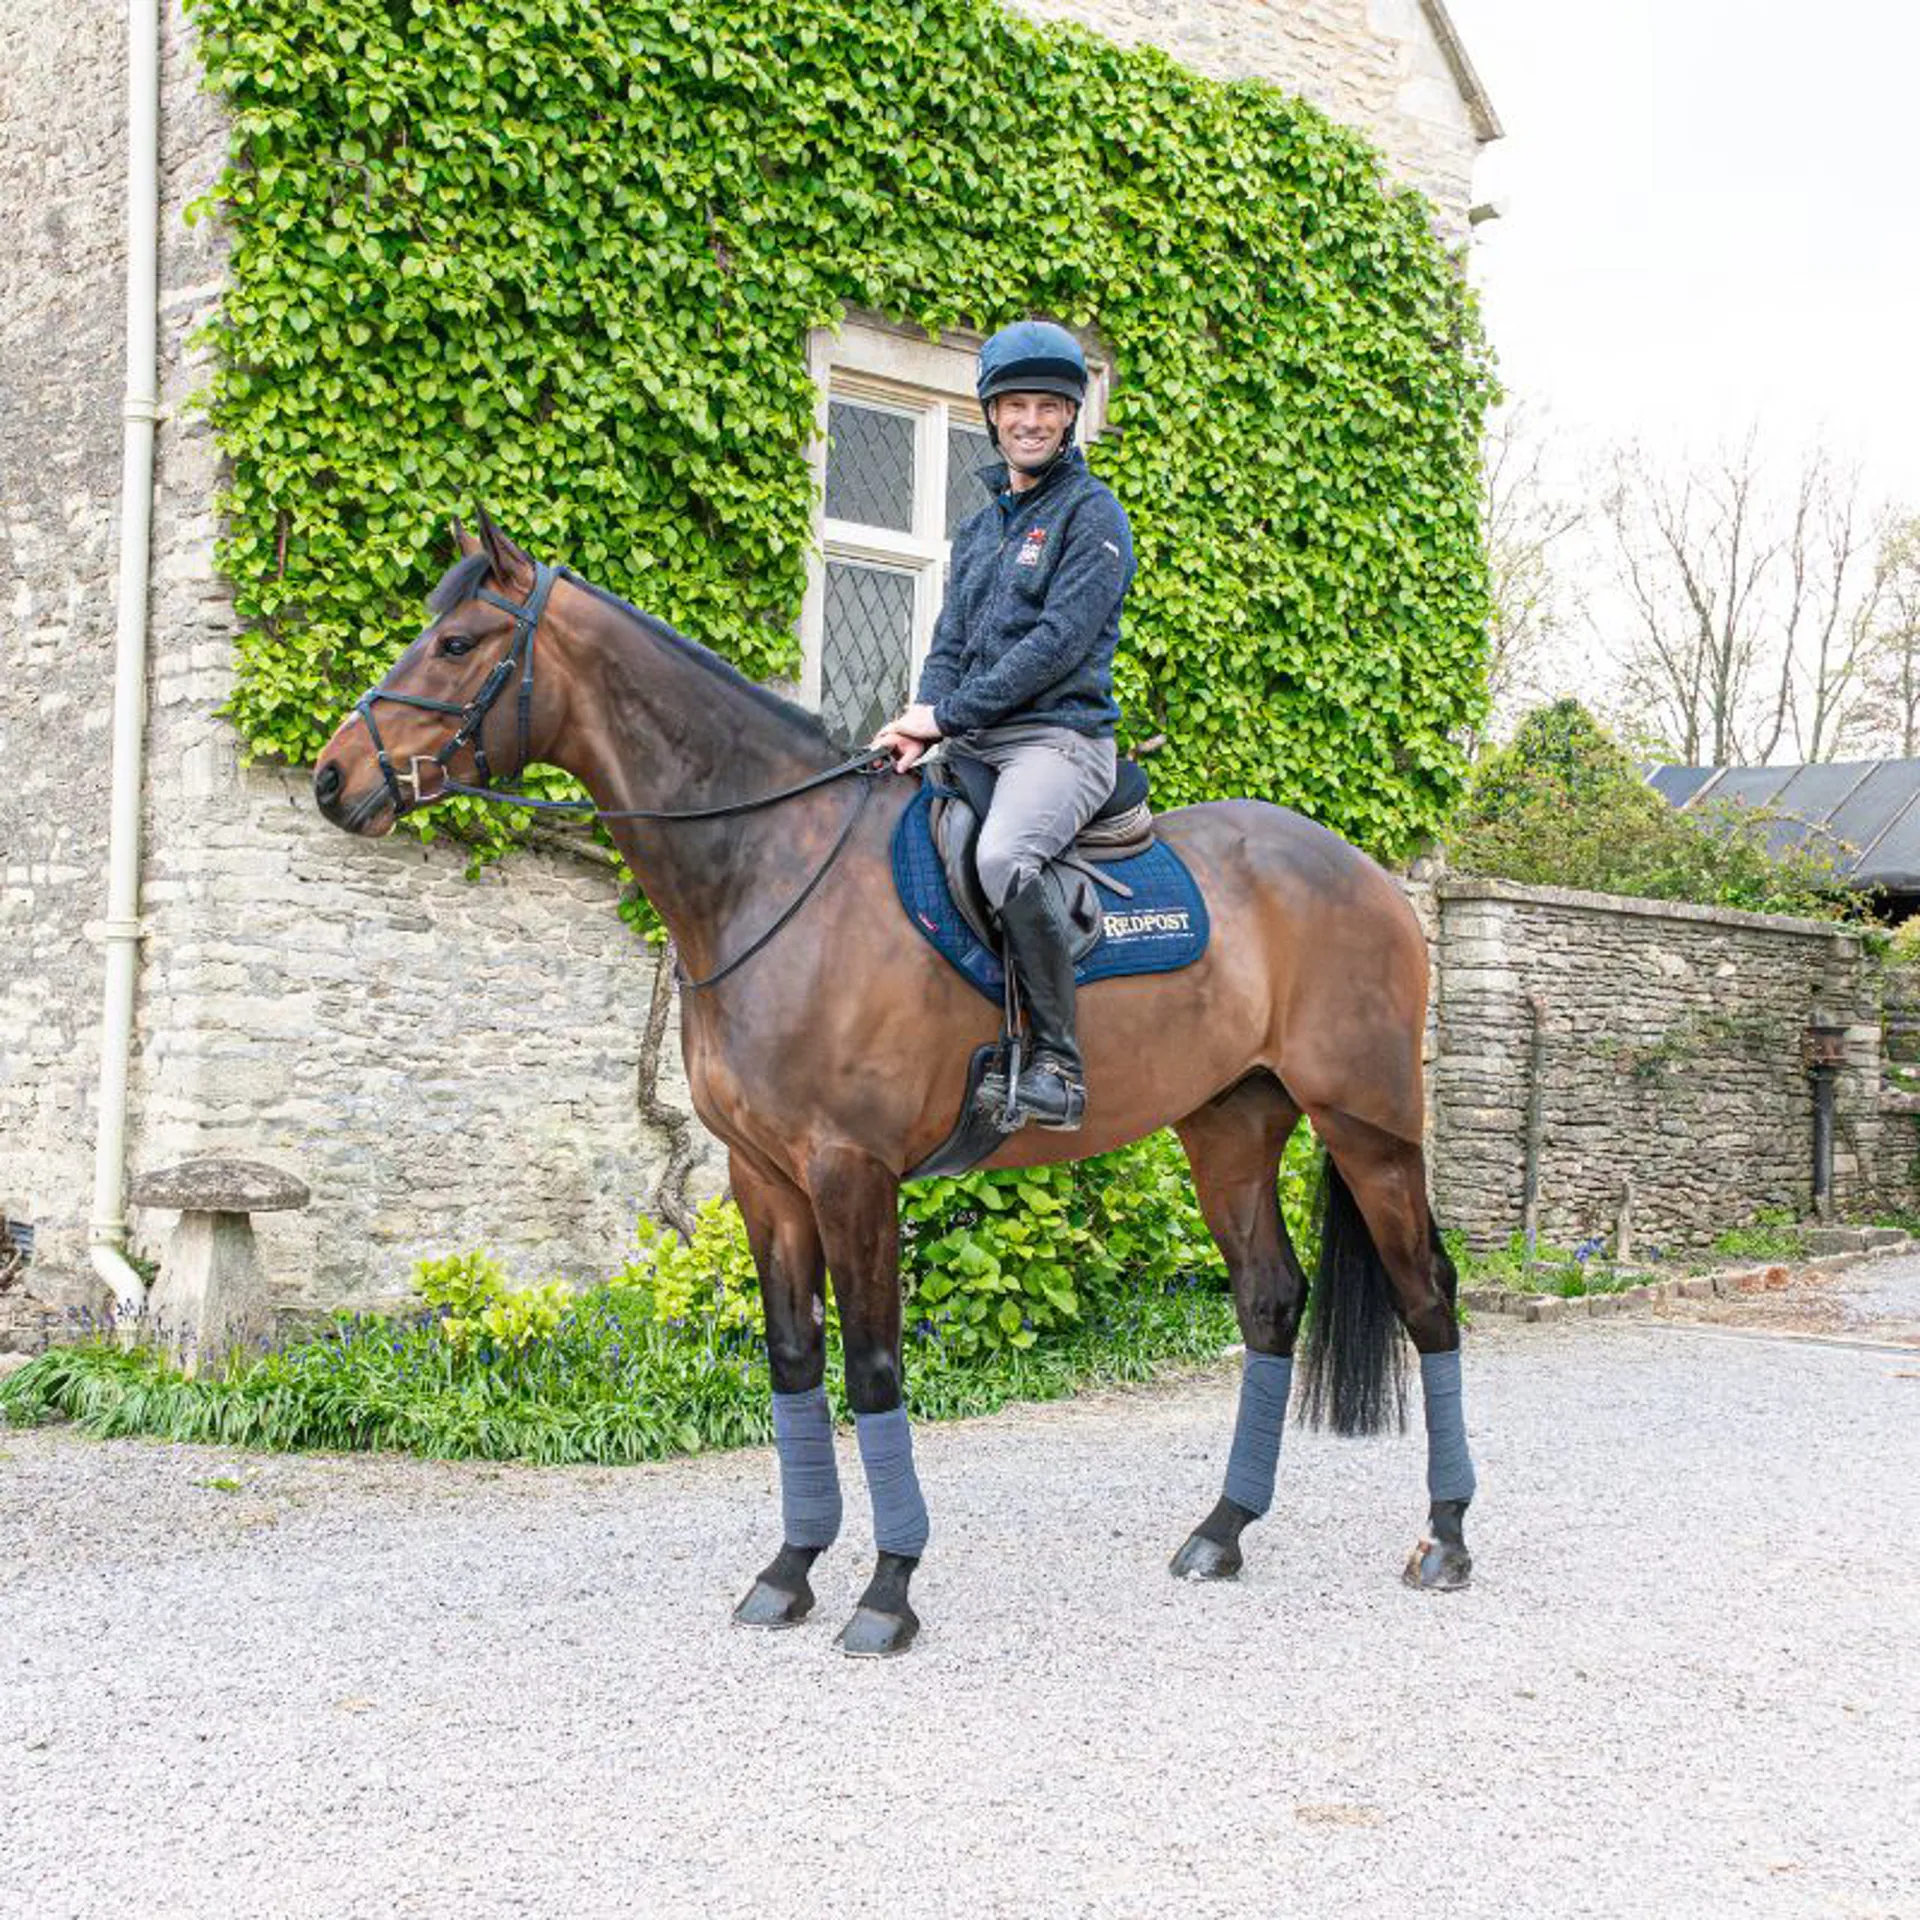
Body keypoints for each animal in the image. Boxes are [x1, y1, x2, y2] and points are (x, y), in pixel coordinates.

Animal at [312, 514, 1478, 1658]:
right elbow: (792, 1362)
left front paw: (887, 1589)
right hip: (1228, 1128)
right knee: (1271, 1300)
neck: (770, 867)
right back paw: (1223, 1531)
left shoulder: (851, 1171)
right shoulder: (763, 1178)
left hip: (1369, 1129)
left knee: (1428, 1295)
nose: (332, 778)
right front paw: (788, 1571)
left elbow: (872, 1367)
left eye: (457, 643)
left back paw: (1448, 1538)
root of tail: (1366, 875)